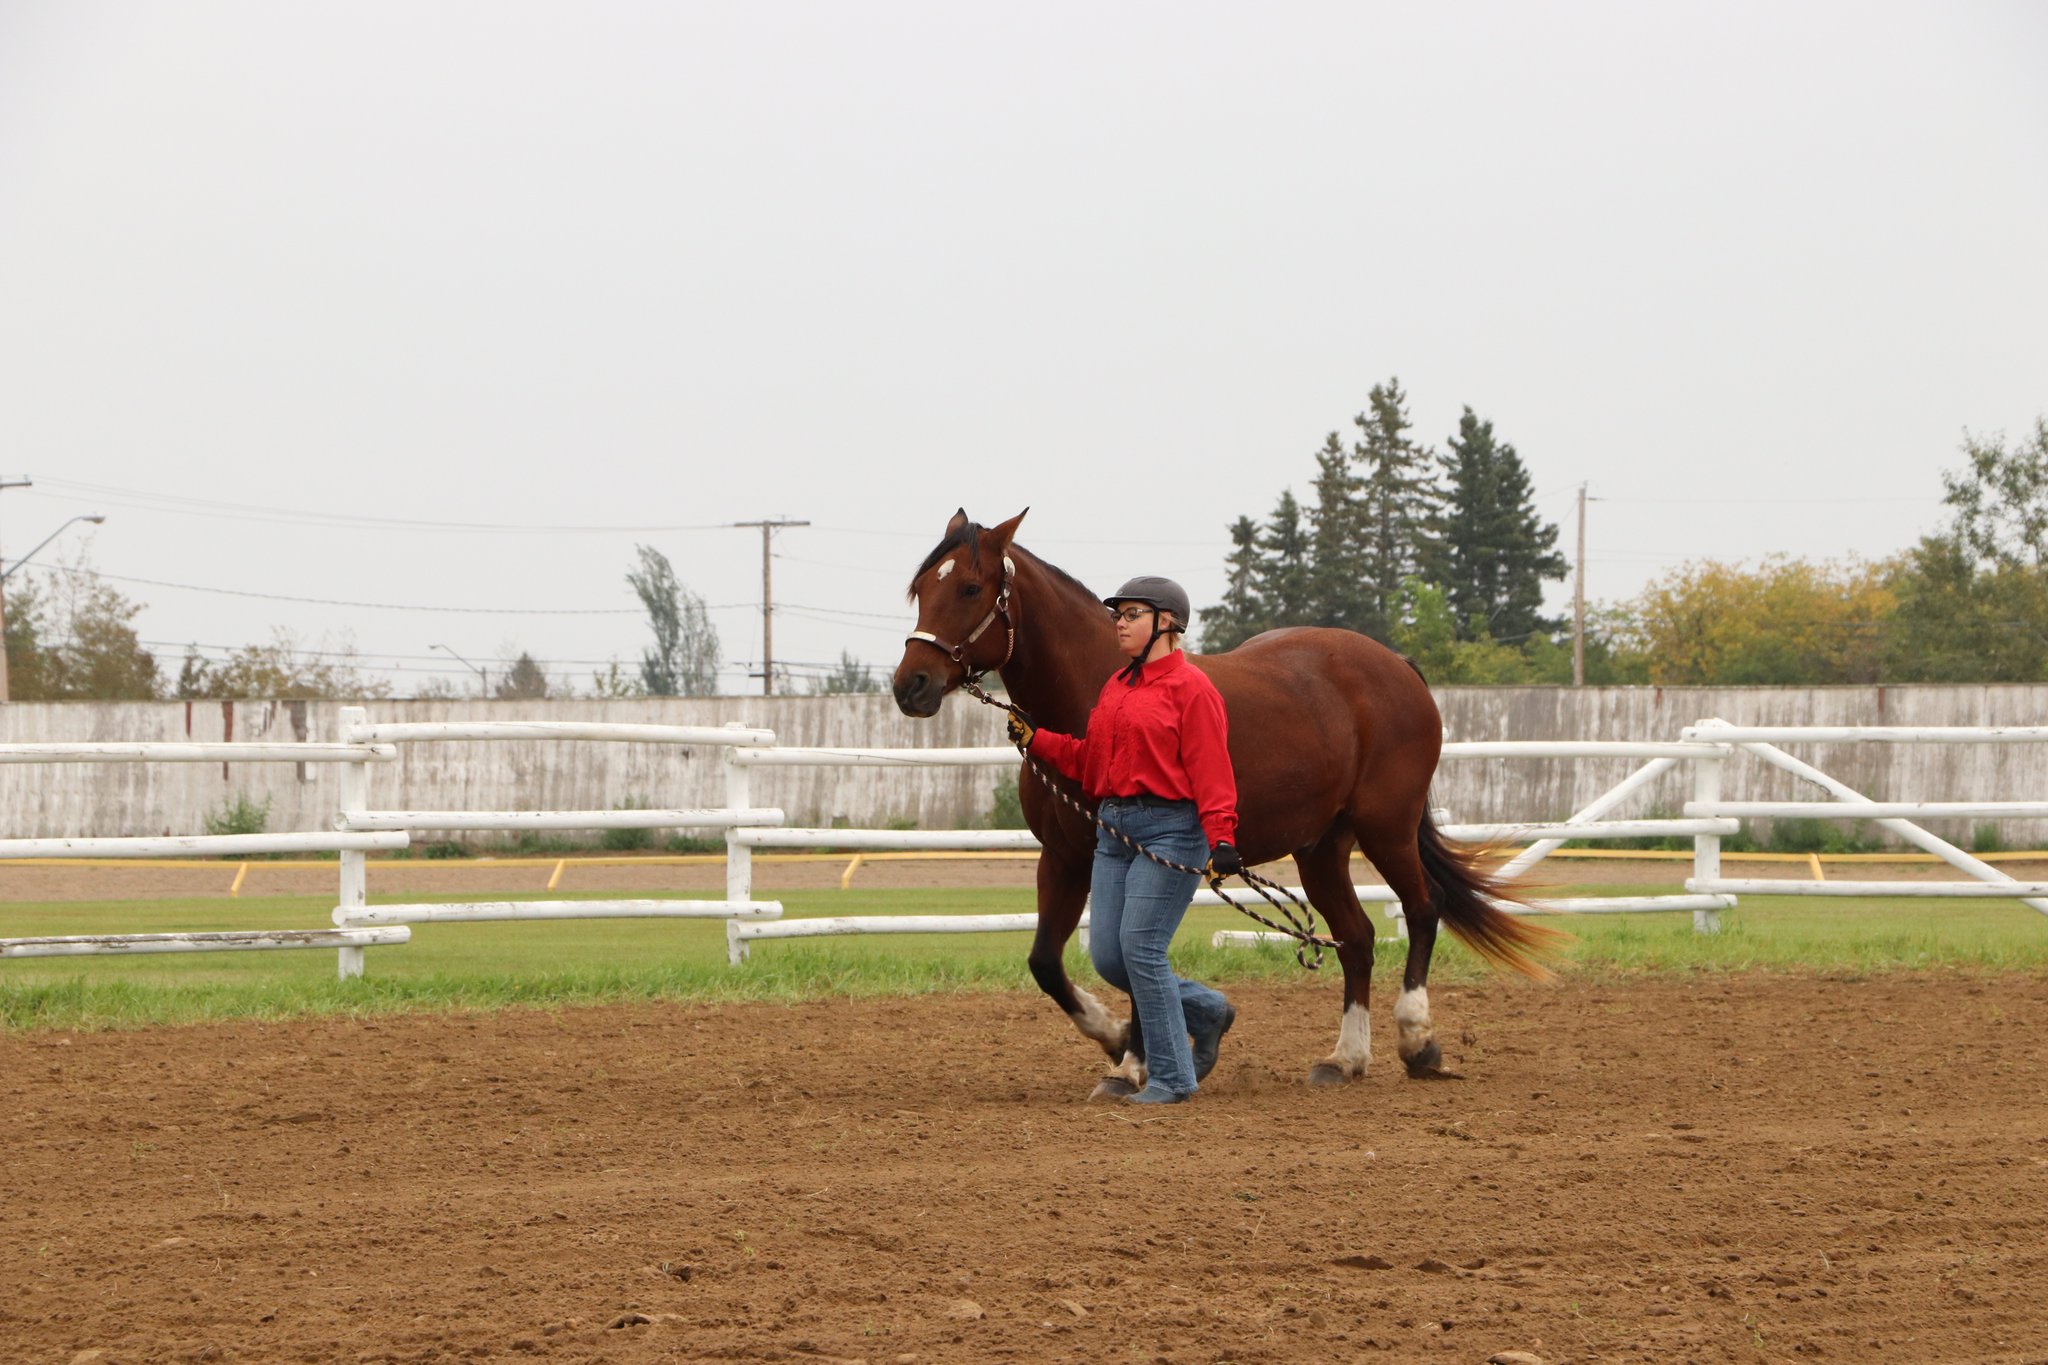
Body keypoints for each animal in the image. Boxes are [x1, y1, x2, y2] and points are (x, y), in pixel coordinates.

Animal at [892, 508, 1557, 1095]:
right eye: (921, 588)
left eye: (971, 587)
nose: (910, 685)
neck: (1099, 694)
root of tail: (1396, 665)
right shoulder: (1065, 857)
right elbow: (1049, 964)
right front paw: (1115, 1039)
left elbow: (1132, 955)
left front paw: (1133, 1064)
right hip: (1322, 849)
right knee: (1358, 938)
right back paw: (1344, 1059)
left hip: (1386, 827)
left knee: (1423, 908)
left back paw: (1417, 1041)